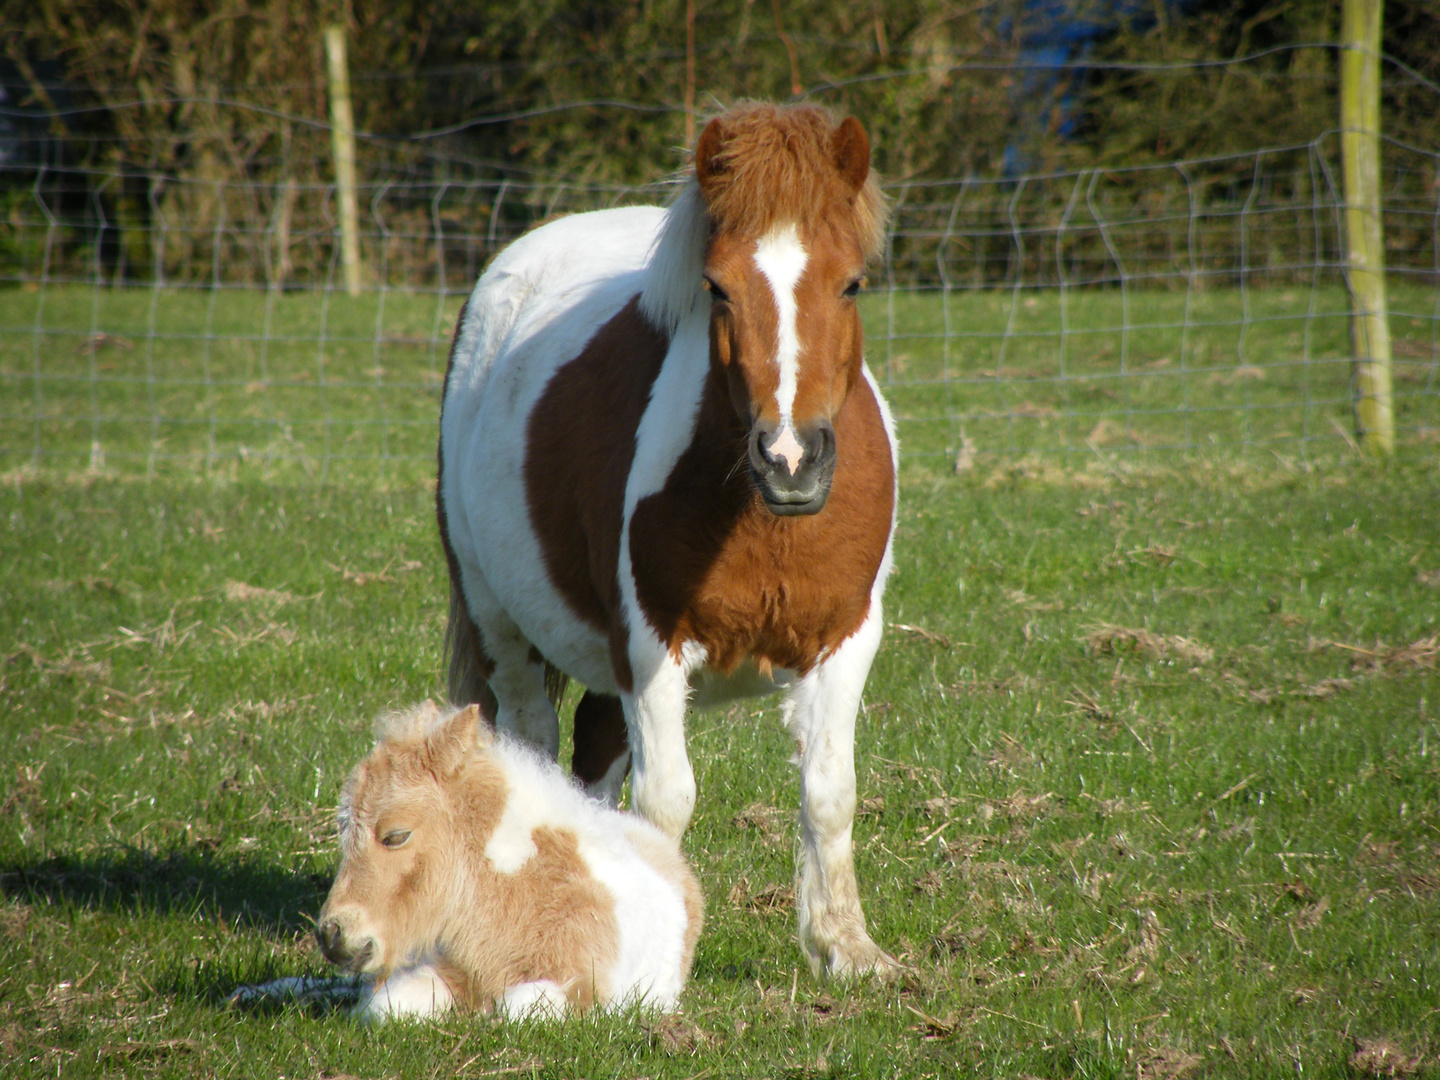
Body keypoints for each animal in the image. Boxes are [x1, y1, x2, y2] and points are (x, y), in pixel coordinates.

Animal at [312, 700, 704, 1021]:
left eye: (396, 835)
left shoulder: (588, 991)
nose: (333, 936)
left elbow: (517, 1008)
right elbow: (386, 1005)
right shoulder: (446, 968)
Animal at [437, 102, 898, 978]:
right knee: (537, 744)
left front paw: (847, 949)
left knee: (592, 757)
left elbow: (830, 792)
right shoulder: (652, 644)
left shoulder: (846, 640)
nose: (790, 459)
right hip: (500, 624)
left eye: (853, 282)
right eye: (717, 288)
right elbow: (668, 801)